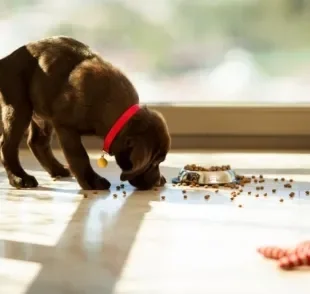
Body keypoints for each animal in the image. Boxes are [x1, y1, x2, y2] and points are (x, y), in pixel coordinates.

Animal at [0, 35, 171, 191]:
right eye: (155, 162)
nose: (158, 181)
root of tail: (6, 59)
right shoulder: (66, 126)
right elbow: (79, 156)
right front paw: (92, 181)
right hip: (19, 107)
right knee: (7, 145)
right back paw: (19, 178)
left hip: (41, 112)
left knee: (37, 142)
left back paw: (57, 170)